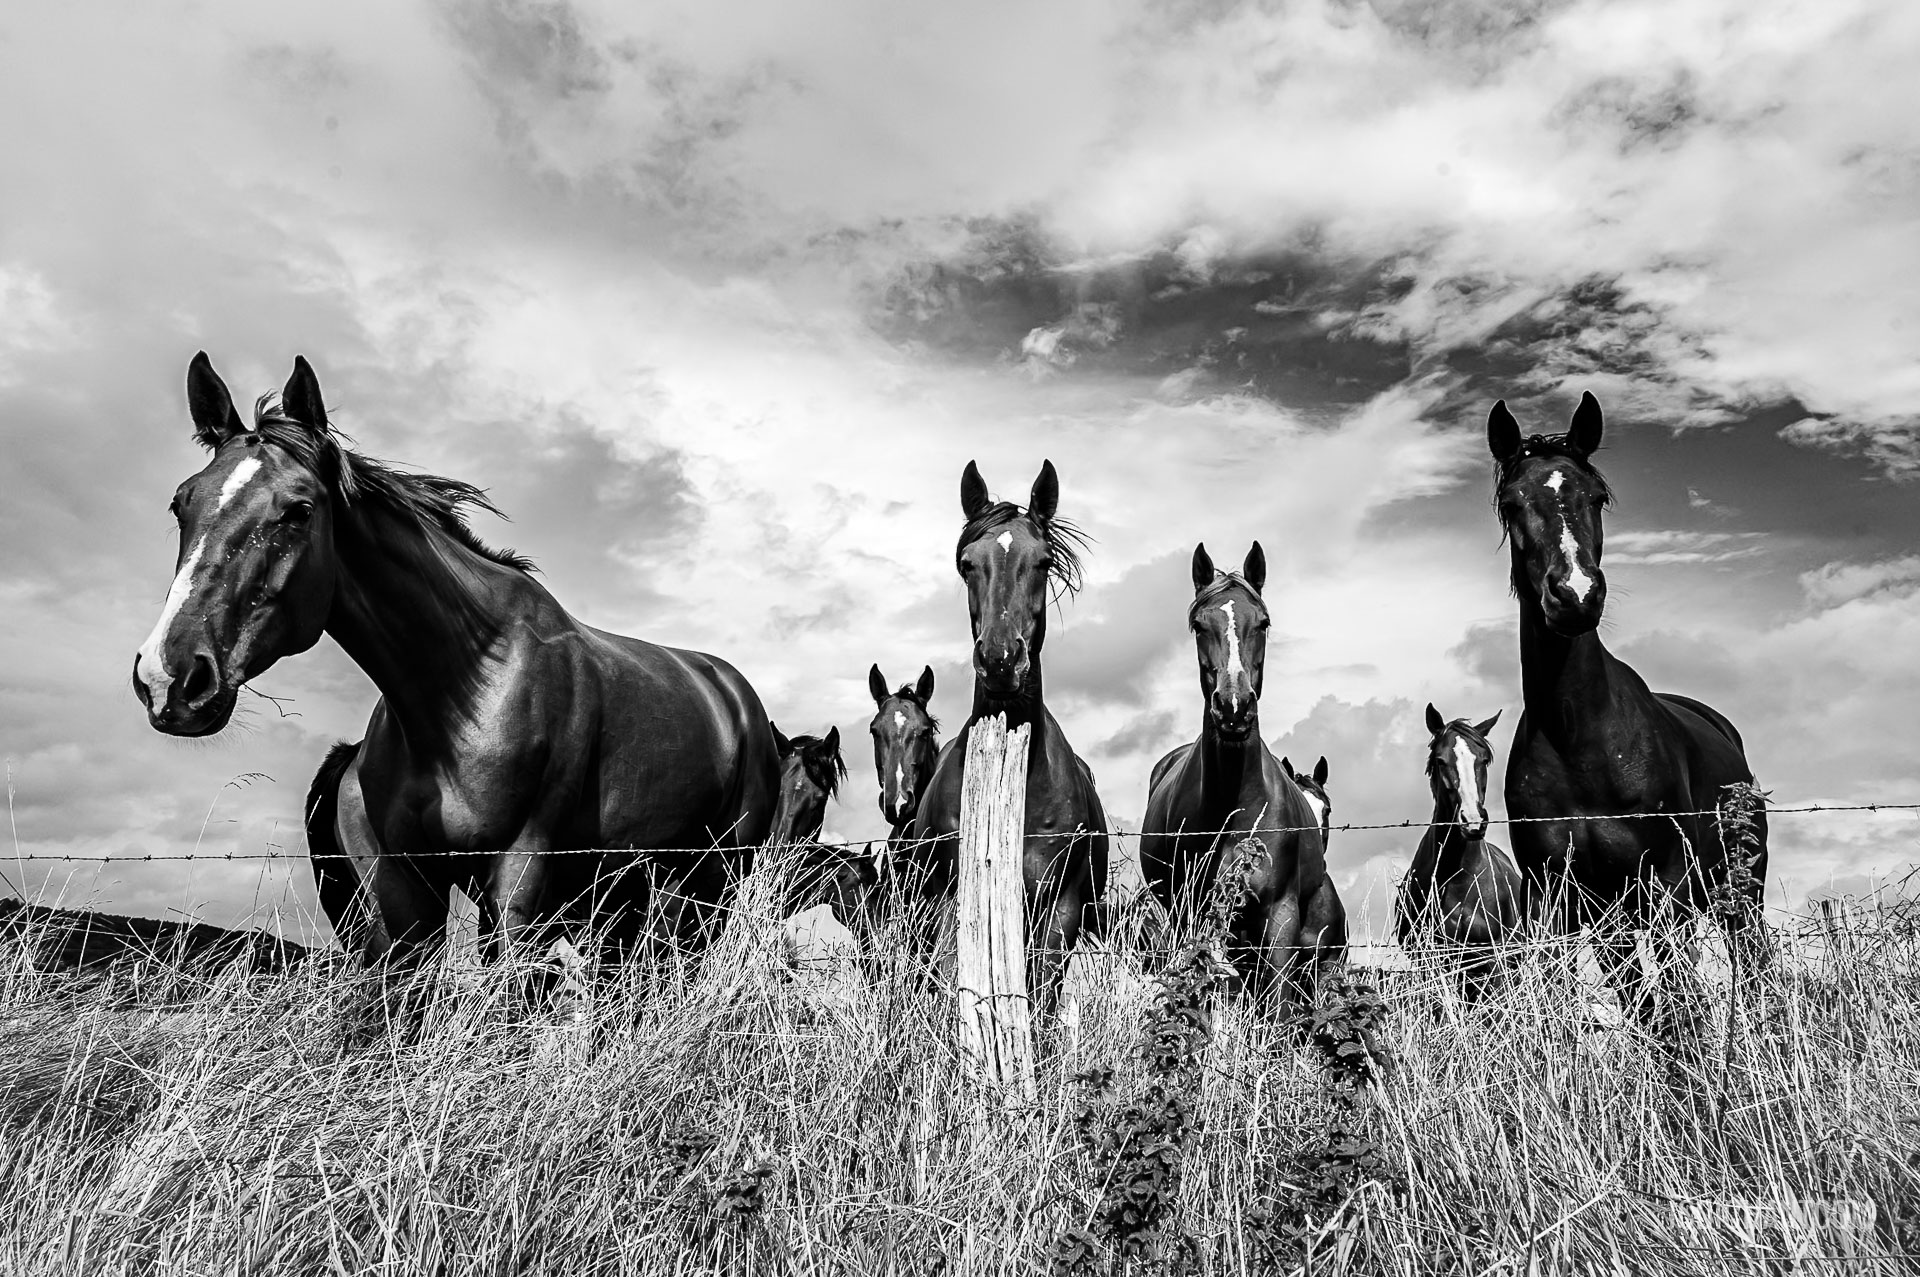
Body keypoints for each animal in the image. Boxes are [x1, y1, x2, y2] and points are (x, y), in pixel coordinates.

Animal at [137, 353, 780, 986]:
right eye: (181, 503)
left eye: (298, 509)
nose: (169, 677)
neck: (461, 692)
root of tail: (735, 696)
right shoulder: (403, 894)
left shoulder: (519, 875)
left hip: (712, 879)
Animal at [906, 460, 1111, 1017]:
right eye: (966, 564)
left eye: (1042, 561)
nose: (1000, 659)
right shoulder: (948, 903)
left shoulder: (1058, 910)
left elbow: (1040, 994)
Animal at [1140, 543, 1347, 1014]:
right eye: (1199, 624)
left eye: (1263, 622)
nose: (1233, 708)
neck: (1235, 807)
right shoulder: (1193, 916)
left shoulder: (1281, 917)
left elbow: (1279, 1007)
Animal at [1396, 705, 1524, 1001]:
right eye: (1440, 761)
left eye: (1484, 759)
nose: (1473, 821)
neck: (1460, 877)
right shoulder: (1433, 960)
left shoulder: (1493, 956)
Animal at [1489, 391, 1769, 1014]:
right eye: (1512, 503)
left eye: (1597, 497)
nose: (1574, 594)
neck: (1579, 736)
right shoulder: (1565, 901)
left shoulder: (1665, 889)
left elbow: (1680, 1001)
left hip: (1740, 887)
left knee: (1753, 965)